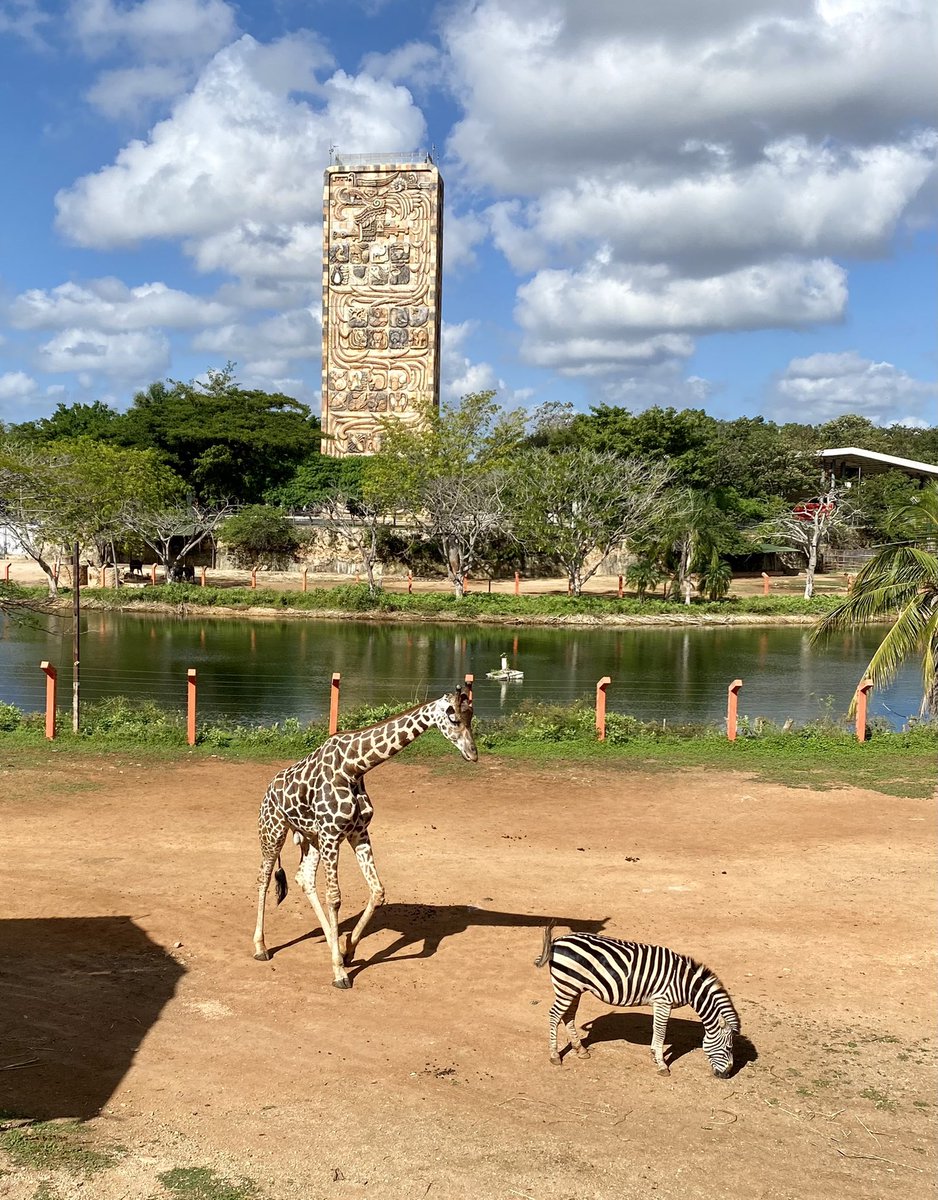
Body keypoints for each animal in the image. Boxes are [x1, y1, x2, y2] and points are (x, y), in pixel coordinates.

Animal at [252, 686, 477, 988]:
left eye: (472, 715)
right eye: (453, 717)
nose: (473, 754)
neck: (353, 767)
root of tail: (267, 790)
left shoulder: (358, 833)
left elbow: (377, 890)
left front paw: (347, 950)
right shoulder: (332, 834)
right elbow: (334, 897)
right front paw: (339, 972)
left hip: (311, 838)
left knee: (303, 878)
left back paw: (331, 941)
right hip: (274, 830)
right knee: (264, 880)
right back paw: (261, 947)